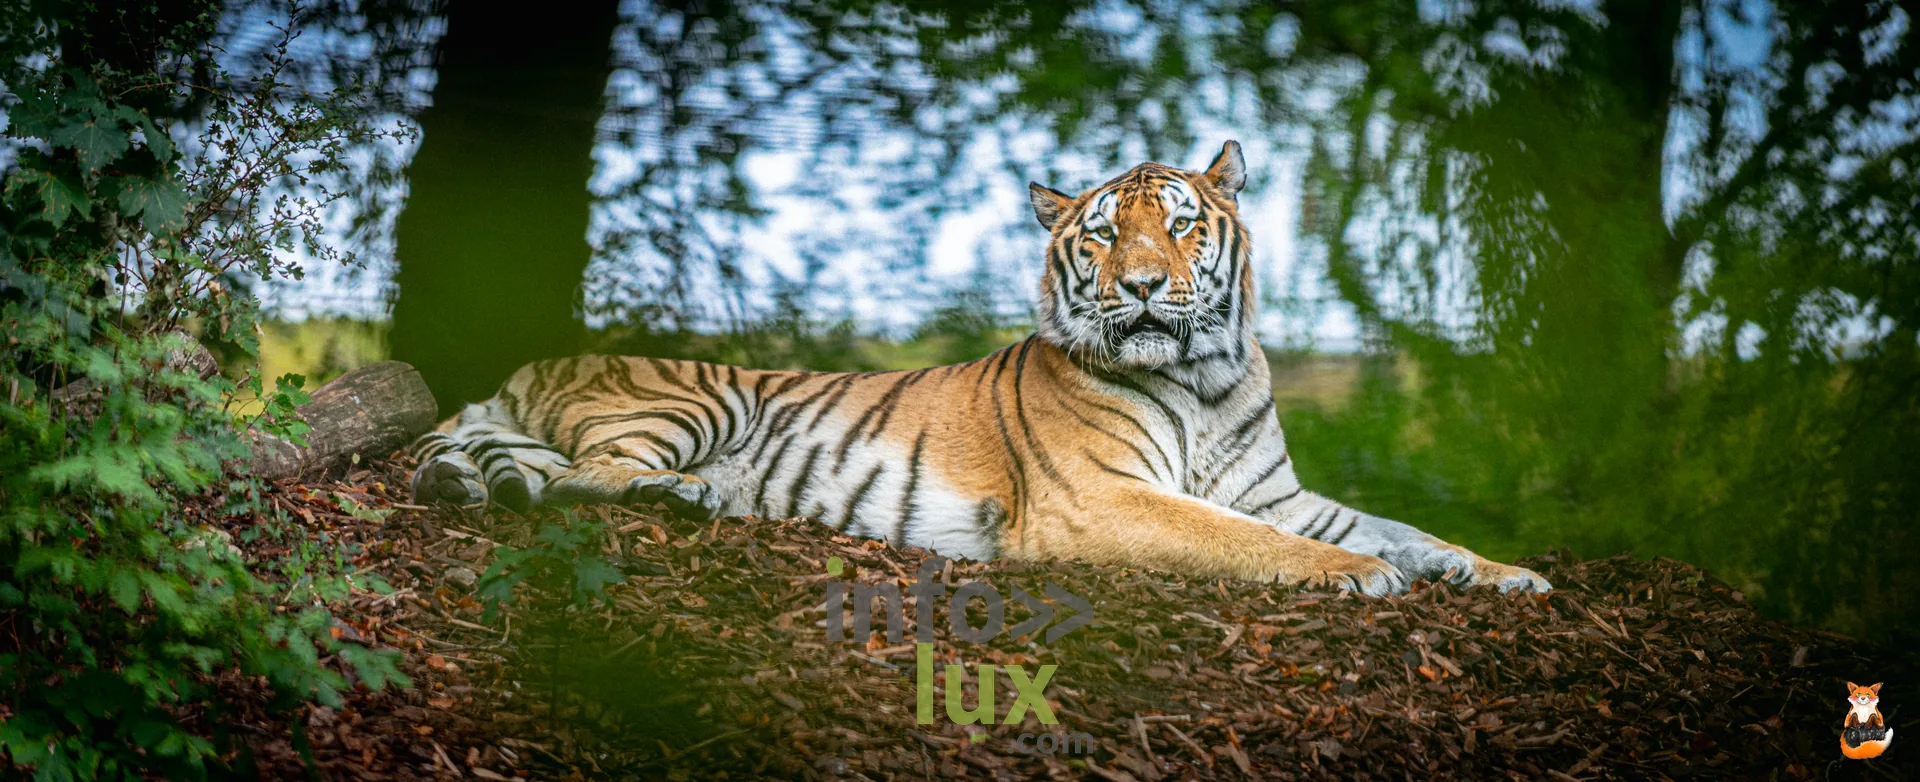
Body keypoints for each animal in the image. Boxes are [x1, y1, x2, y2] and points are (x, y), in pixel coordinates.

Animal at [407, 141, 1551, 596]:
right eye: (1102, 234)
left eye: (1180, 223)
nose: (1143, 284)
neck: (1206, 377)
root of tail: (528, 362)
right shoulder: (1102, 497)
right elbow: (1248, 539)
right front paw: (1355, 574)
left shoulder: (1281, 490)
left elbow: (1403, 523)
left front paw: (1503, 572)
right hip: (694, 400)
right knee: (588, 476)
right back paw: (689, 496)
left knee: (530, 475)